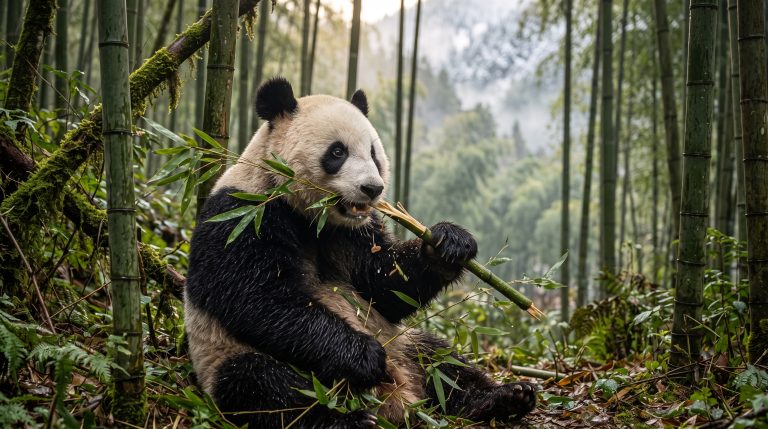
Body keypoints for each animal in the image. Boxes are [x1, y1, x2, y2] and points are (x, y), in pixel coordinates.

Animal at [184, 77, 537, 428]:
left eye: (373, 153)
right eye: (337, 151)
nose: (372, 188)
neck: (310, 216)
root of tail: (399, 402)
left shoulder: (353, 233)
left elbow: (383, 285)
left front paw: (449, 244)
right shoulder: (243, 216)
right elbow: (257, 296)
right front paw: (362, 355)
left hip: (405, 343)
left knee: (443, 361)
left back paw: (504, 397)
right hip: (228, 357)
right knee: (266, 388)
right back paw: (348, 419)